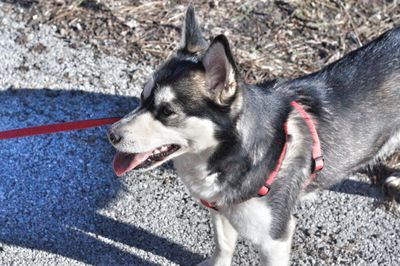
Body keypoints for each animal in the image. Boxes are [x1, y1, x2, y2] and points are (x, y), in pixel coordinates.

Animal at [107, 6, 400, 266]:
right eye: (142, 97)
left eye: (167, 111)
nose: (111, 134)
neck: (231, 152)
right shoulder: (222, 210)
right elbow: (223, 246)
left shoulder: (275, 239)